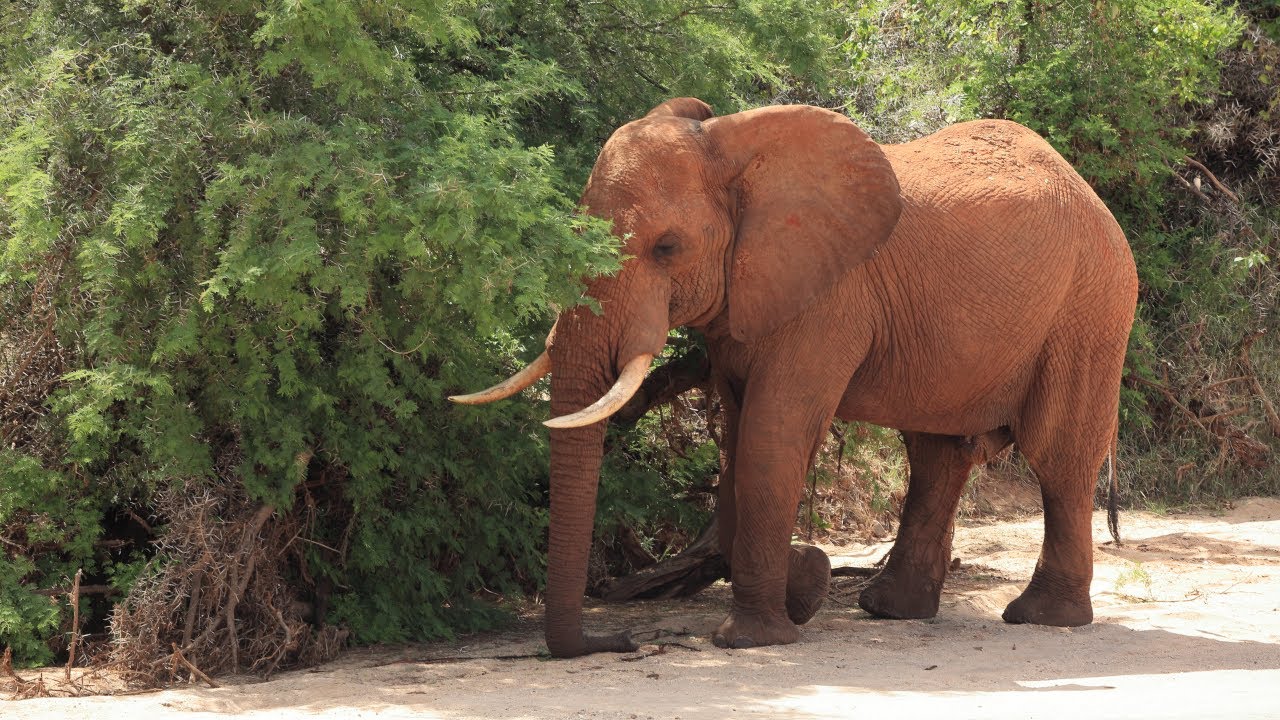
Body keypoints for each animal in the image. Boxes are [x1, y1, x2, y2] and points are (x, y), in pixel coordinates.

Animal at [452, 97, 1138, 657]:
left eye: (667, 248)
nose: (617, 641)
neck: (737, 151)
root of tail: (1092, 194)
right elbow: (735, 445)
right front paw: (803, 588)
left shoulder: (828, 300)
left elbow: (771, 437)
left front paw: (758, 631)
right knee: (937, 455)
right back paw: (890, 610)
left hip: (1090, 307)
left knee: (1057, 456)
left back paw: (1041, 618)